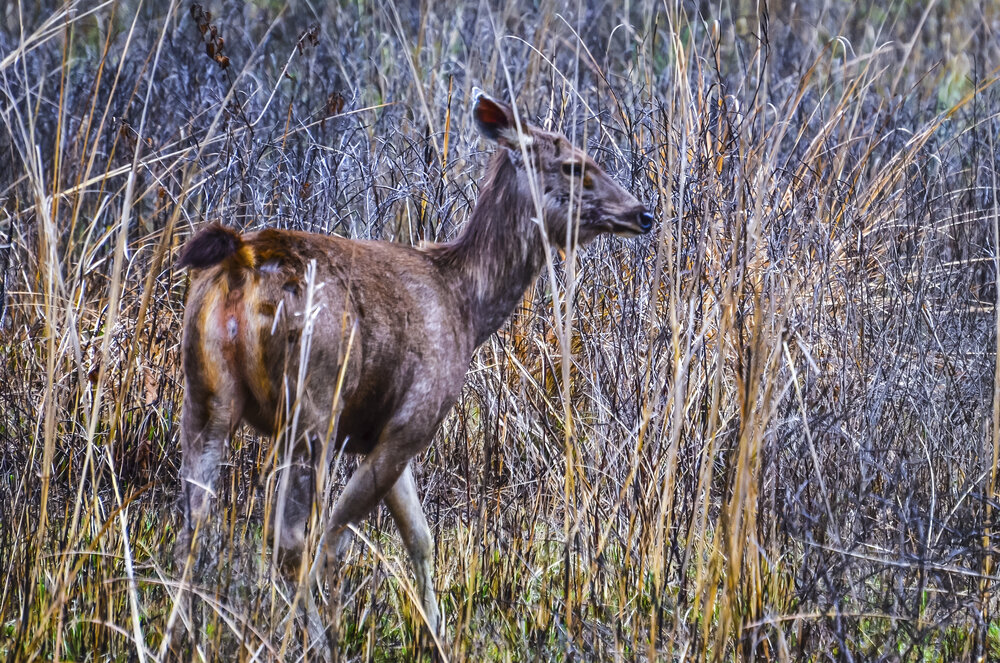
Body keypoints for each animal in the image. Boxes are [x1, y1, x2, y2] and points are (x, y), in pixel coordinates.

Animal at [174, 89, 653, 640]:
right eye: (575, 165)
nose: (644, 213)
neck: (466, 307)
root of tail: (242, 261)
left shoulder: (378, 434)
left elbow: (420, 537)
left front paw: (436, 631)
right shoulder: (413, 420)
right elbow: (338, 535)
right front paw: (349, 625)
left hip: (205, 394)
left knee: (195, 522)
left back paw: (182, 630)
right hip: (312, 404)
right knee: (289, 539)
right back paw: (310, 637)